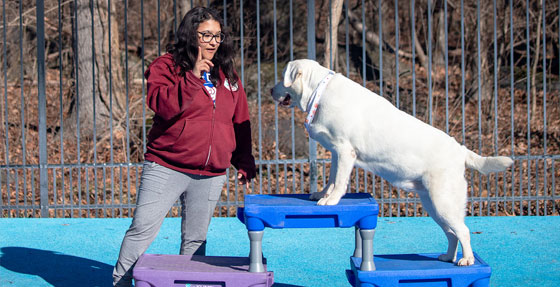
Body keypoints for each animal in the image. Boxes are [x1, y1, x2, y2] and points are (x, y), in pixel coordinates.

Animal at [270, 59, 512, 268]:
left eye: (282, 78)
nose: (271, 91)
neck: (318, 92)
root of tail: (461, 151)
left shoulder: (345, 151)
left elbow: (339, 182)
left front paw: (331, 201)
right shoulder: (336, 153)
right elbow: (331, 179)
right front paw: (321, 194)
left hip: (443, 202)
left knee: (463, 230)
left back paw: (467, 260)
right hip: (432, 205)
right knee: (452, 233)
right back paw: (447, 257)